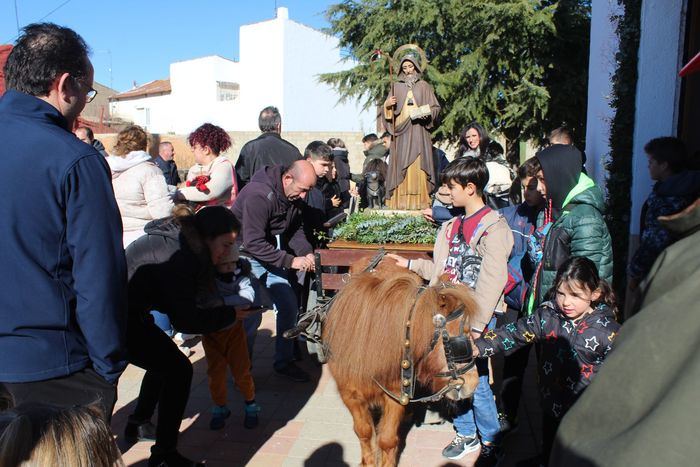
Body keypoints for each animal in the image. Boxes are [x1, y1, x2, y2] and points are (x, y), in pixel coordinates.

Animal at [324, 258, 482, 466]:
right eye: (459, 339)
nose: (473, 383)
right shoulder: (350, 395)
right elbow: (364, 431)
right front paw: (368, 460)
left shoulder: (396, 393)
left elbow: (387, 439)